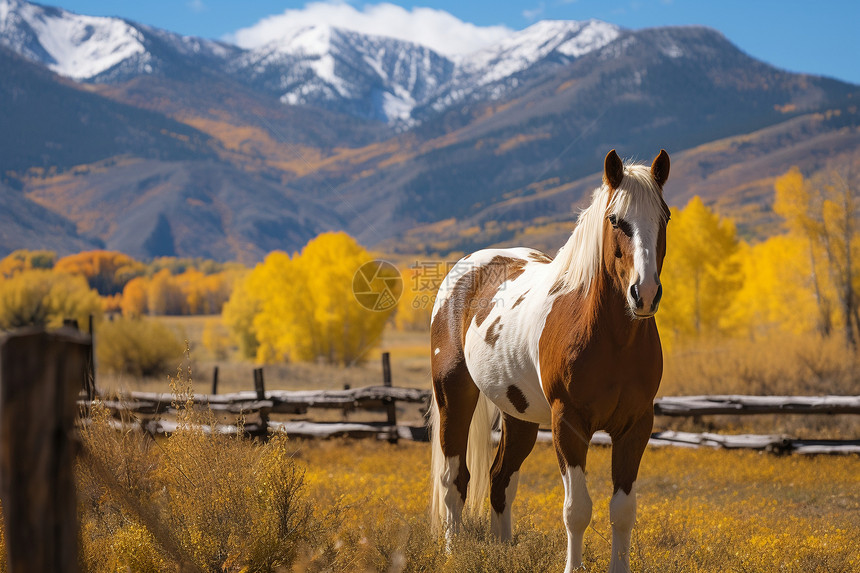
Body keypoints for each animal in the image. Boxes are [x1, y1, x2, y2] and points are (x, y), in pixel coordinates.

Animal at [430, 149, 672, 572]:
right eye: (615, 220)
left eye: (666, 217)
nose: (644, 294)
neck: (611, 338)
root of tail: (463, 270)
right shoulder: (568, 423)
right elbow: (577, 510)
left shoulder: (636, 425)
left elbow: (623, 510)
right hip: (454, 398)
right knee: (454, 480)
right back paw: (452, 553)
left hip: (519, 415)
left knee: (500, 479)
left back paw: (502, 550)